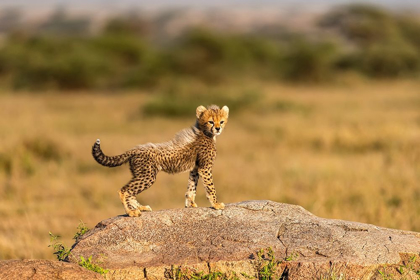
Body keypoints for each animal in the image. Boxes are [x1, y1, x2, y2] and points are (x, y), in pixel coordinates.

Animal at [92, 104, 230, 217]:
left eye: (221, 121)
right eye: (211, 122)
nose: (218, 128)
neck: (205, 132)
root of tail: (135, 149)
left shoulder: (195, 168)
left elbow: (191, 187)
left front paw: (190, 204)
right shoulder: (205, 168)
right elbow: (210, 187)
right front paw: (216, 204)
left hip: (141, 174)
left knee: (131, 192)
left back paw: (140, 207)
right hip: (147, 176)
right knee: (124, 190)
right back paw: (131, 212)